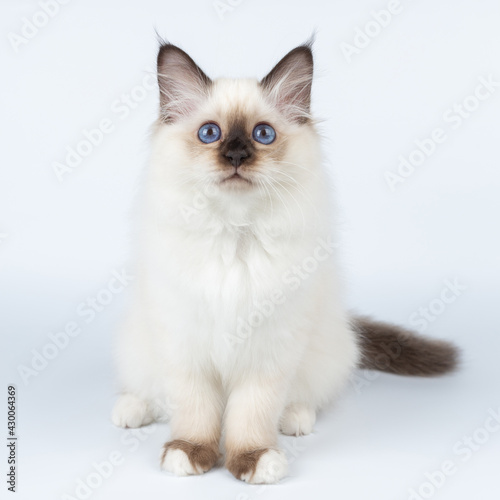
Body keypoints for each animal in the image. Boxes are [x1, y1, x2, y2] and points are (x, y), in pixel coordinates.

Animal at [111, 43, 458, 484]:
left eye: (263, 134)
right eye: (210, 133)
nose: (236, 155)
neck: (235, 235)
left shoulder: (269, 350)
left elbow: (250, 414)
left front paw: (254, 460)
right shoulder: (185, 345)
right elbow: (194, 408)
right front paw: (189, 453)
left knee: (306, 397)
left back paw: (295, 419)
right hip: (139, 342)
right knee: (151, 392)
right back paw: (130, 410)